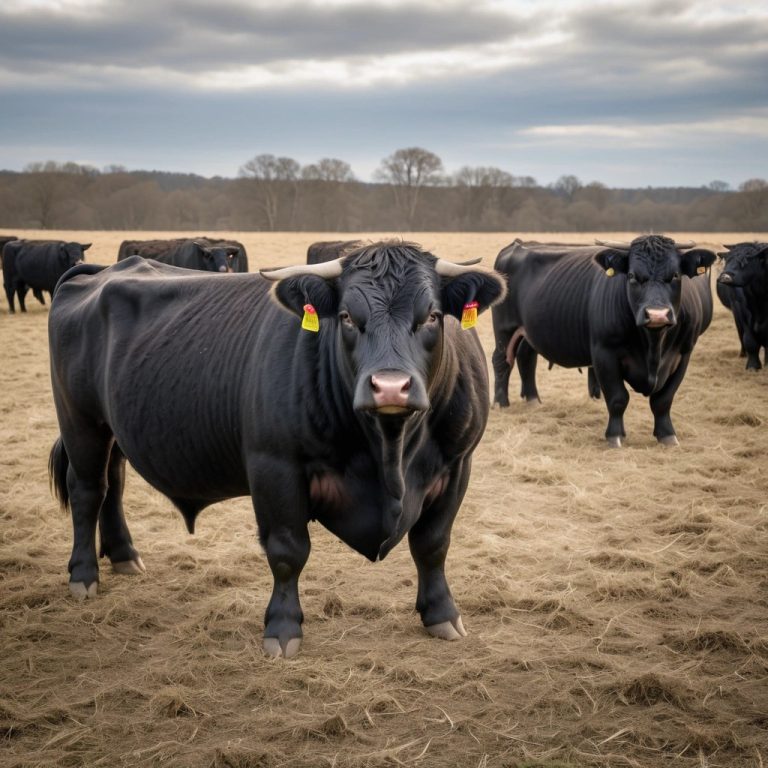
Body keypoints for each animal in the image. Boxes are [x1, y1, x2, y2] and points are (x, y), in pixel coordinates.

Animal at [48, 242, 505, 657]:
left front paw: (442, 614)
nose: (390, 387)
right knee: (88, 490)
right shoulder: (275, 467)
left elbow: (433, 543)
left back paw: (124, 555)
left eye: (431, 316)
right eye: (346, 317)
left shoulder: (457, 466)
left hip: (113, 430)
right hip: (80, 422)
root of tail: (103, 270)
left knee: (113, 484)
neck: (389, 452)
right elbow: (288, 551)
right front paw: (283, 628)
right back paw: (84, 575)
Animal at [491, 235, 716, 446]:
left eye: (676, 275)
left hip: (528, 332)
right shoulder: (604, 353)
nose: (657, 315)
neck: (653, 346)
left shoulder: (683, 354)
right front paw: (615, 436)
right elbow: (617, 398)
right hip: (505, 329)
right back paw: (501, 403)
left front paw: (667, 435)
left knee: (526, 357)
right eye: (632, 276)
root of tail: (517, 245)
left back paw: (533, 400)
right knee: (502, 362)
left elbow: (663, 399)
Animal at [716, 241, 768, 370]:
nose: (725, 276)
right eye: (727, 260)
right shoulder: (742, 311)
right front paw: (753, 366)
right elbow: (749, 340)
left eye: (745, 263)